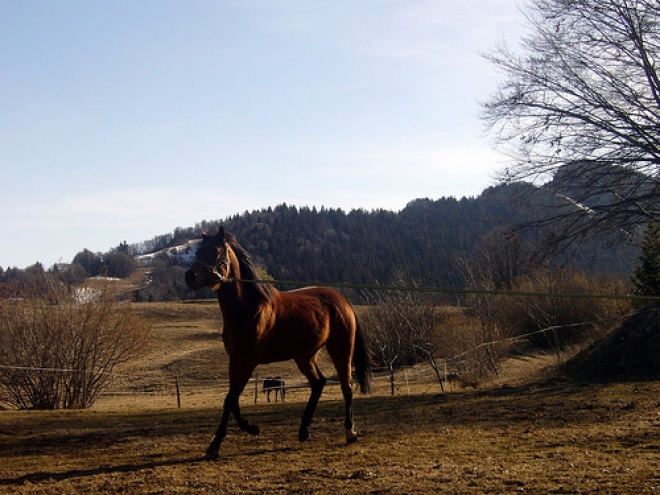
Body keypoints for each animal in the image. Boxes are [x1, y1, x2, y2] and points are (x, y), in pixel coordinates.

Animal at [186, 229, 372, 462]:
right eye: (198, 251)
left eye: (214, 250)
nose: (189, 276)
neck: (247, 308)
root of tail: (343, 301)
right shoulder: (235, 359)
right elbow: (232, 399)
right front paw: (251, 428)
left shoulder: (249, 361)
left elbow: (230, 399)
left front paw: (216, 444)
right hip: (305, 356)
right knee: (318, 383)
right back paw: (303, 431)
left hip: (341, 348)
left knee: (346, 386)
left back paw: (350, 432)